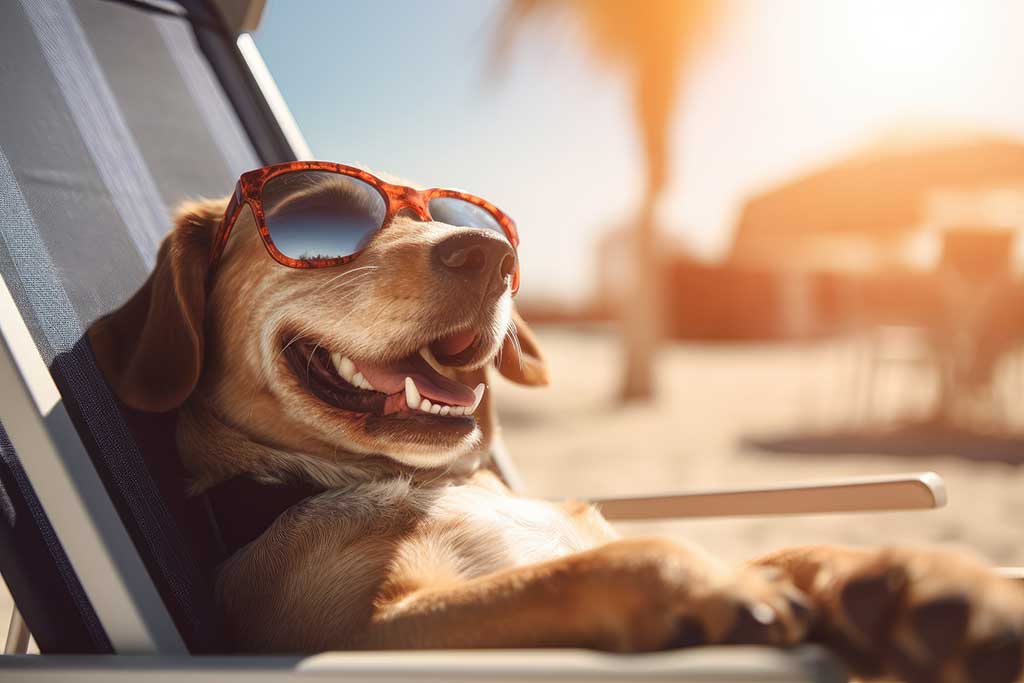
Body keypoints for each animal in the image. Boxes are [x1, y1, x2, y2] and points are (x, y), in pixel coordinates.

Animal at [88, 166, 1024, 683]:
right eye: (323, 219)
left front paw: (925, 583)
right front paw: (709, 582)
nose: (491, 257)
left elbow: (806, 547)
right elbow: (593, 565)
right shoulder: (365, 631)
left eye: (457, 217)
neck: (422, 480)